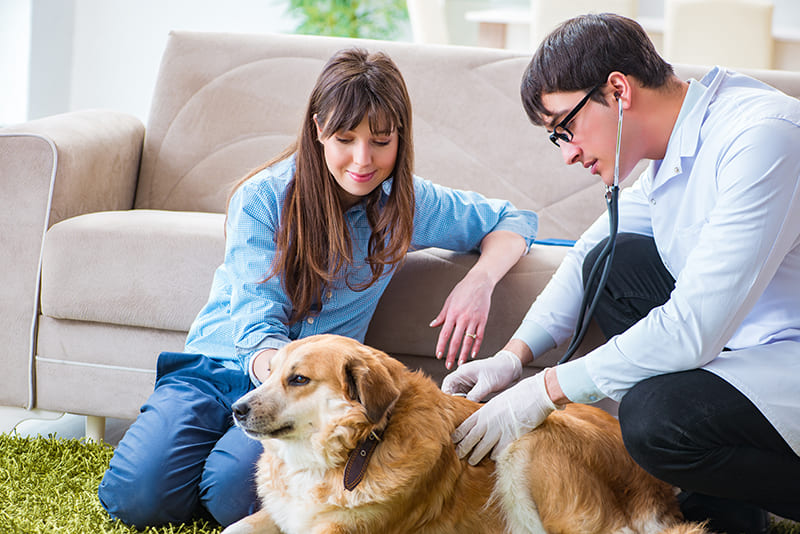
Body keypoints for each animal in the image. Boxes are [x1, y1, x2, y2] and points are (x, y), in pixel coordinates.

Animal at [220, 336, 708, 534]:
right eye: (269, 373)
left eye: (299, 379)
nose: (236, 410)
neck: (358, 447)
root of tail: (651, 484)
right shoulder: (286, 518)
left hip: (527, 447)